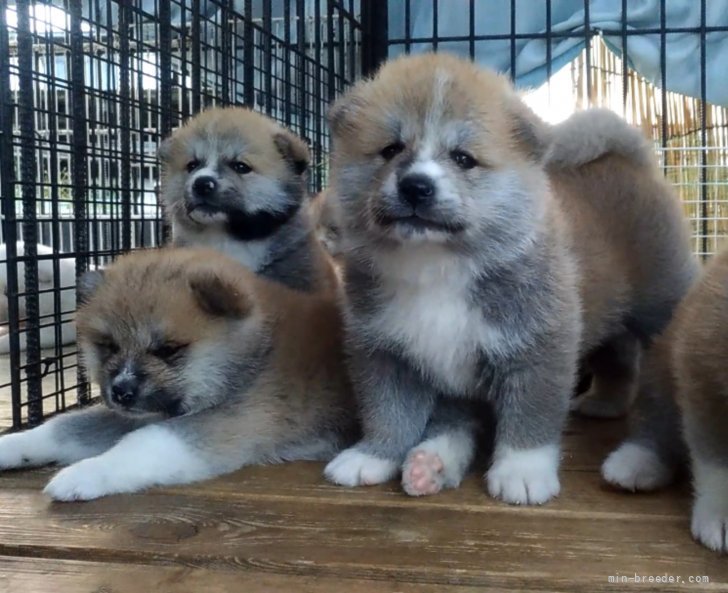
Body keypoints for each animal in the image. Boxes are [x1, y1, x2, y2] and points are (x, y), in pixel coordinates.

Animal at [0, 245, 356, 500]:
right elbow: (64, 427)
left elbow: (147, 442)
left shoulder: (235, 420)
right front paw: (11, 445)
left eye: (168, 350)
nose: (121, 391)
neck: (255, 354)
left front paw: (86, 472)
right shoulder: (141, 413)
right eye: (109, 346)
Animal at [322, 53, 692, 502]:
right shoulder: (385, 352)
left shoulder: (537, 346)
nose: (416, 186)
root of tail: (628, 158)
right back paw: (603, 403)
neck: (437, 268)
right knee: (618, 357)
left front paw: (522, 472)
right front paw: (372, 456)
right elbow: (388, 413)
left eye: (463, 158)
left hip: (659, 302)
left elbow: (529, 416)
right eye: (390, 149)